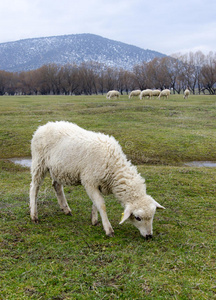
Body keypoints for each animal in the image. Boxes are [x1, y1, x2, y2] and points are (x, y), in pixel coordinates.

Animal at [30, 120, 165, 238]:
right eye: (138, 218)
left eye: (152, 216)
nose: (149, 236)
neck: (113, 166)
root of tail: (43, 126)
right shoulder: (89, 181)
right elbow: (101, 205)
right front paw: (108, 229)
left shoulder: (98, 183)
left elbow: (95, 203)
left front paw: (94, 220)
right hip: (39, 162)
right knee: (34, 187)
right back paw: (34, 215)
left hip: (58, 168)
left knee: (57, 186)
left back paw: (66, 209)